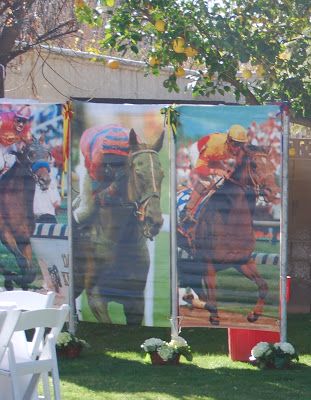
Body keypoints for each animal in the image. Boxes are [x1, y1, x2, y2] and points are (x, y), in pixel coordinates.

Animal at [0, 141, 51, 290]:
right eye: (31, 154)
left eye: (47, 154)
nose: (45, 180)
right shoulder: (5, 234)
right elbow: (22, 261)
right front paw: (13, 279)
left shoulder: (24, 239)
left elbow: (30, 269)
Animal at [178, 145, 282, 326]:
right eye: (254, 165)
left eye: (272, 166)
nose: (273, 192)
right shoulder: (208, 262)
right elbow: (212, 290)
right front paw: (214, 315)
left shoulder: (242, 260)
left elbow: (263, 285)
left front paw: (254, 314)